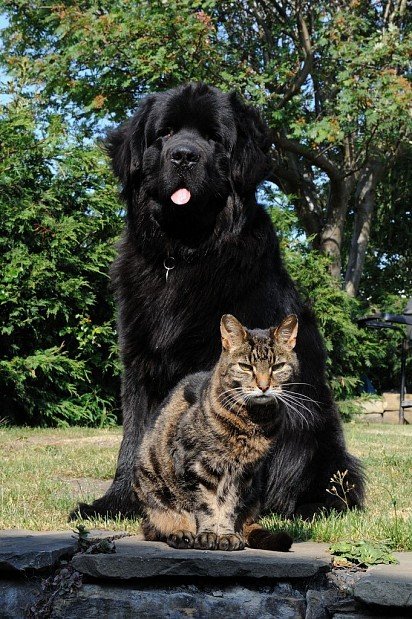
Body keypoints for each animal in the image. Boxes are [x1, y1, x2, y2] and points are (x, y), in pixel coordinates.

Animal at [71, 81, 364, 520]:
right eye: (165, 133)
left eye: (213, 139)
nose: (184, 155)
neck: (184, 254)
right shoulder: (139, 362)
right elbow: (136, 435)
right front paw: (117, 502)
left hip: (315, 430)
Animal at [133, 314, 300, 552]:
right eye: (245, 366)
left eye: (277, 366)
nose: (263, 386)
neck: (252, 423)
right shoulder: (197, 466)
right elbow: (207, 506)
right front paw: (208, 535)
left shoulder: (243, 474)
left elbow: (229, 507)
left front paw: (227, 535)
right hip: (151, 487)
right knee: (159, 524)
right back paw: (181, 533)